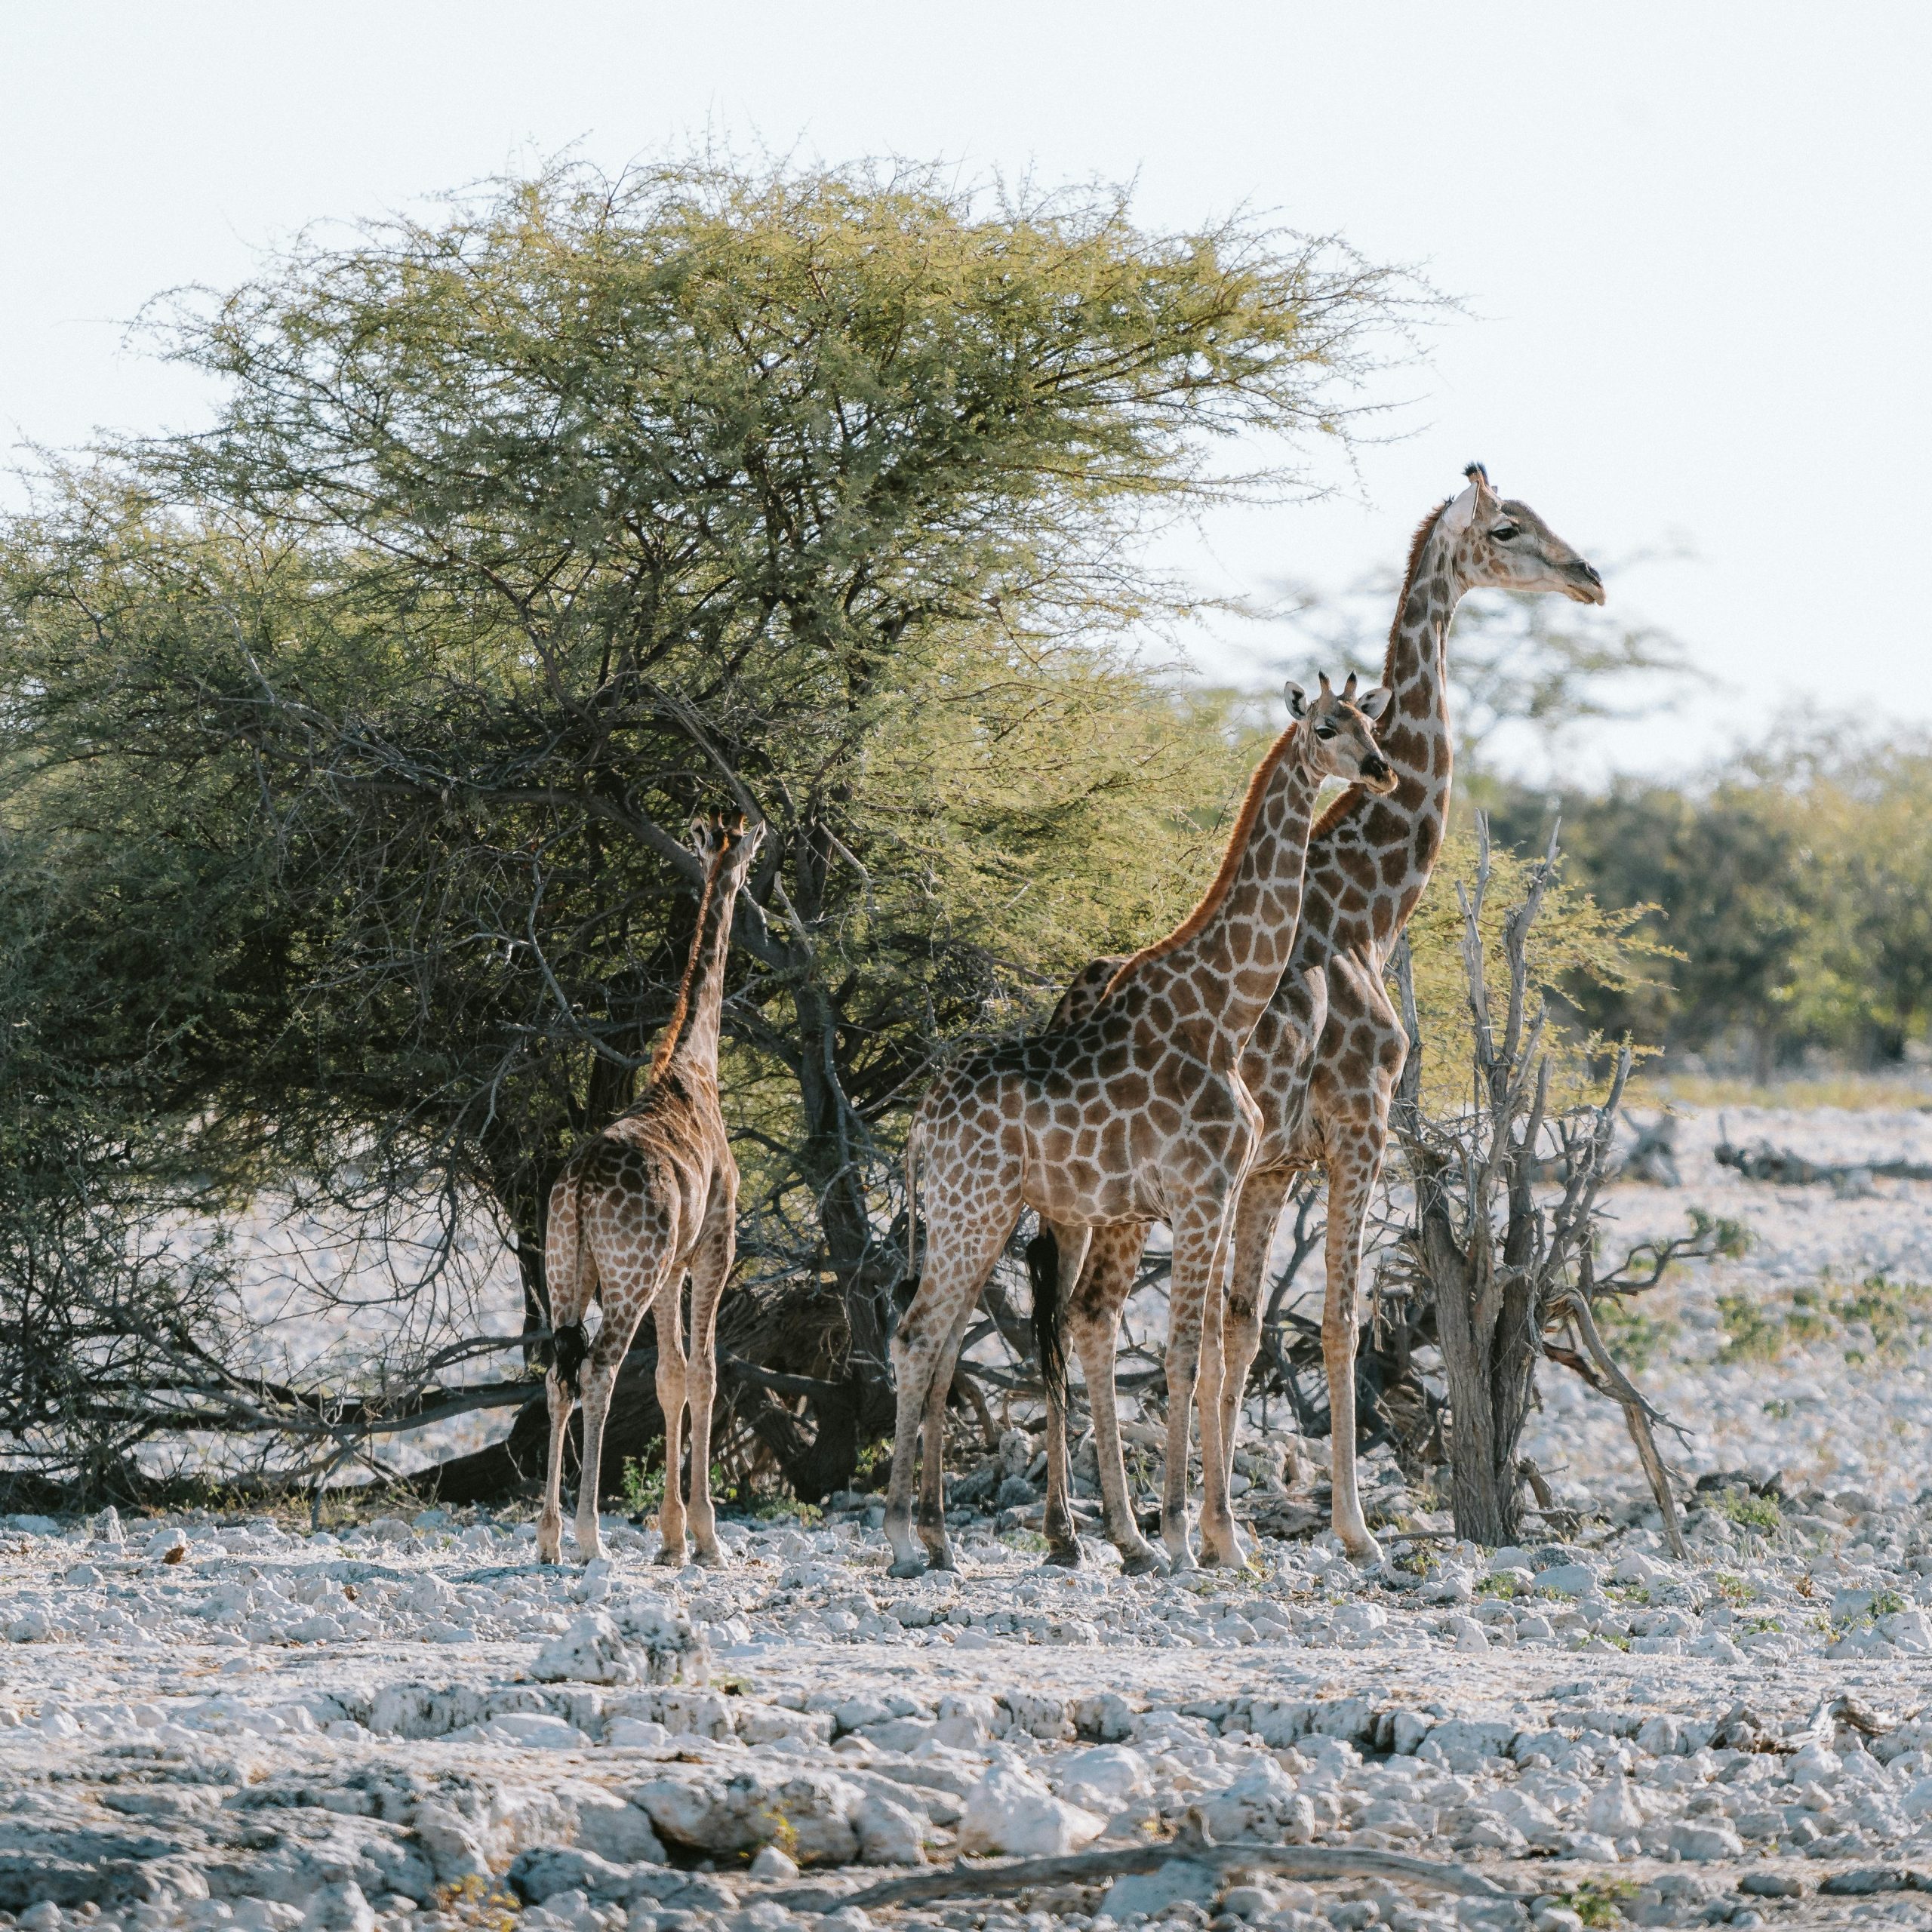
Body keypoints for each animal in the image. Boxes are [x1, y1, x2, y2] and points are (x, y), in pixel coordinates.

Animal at [536, 812, 764, 1568]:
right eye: (749, 858)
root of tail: (578, 1187)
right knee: (599, 1372)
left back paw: (548, 1538)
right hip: (628, 1275)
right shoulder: (714, 1246)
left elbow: (669, 1376)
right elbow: (704, 1374)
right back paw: (590, 1539)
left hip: (565, 1267)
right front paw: (705, 1536)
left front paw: (671, 1538)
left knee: (556, 1374)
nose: (750, 885)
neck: (692, 1067)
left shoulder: (672, 1268)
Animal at [887, 676, 1396, 1579]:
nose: (1379, 770)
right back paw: (905, 1541)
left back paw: (944, 1540)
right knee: (917, 1337)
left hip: (976, 1217)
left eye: (1372, 725)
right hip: (973, 1213)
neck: (1223, 1011)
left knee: (941, 1343)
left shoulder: (1218, 1192)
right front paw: (1185, 1537)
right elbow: (1186, 1353)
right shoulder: (1199, 1195)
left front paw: (1191, 1536)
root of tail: (921, 1124)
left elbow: (1209, 1344)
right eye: (1327, 728)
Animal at [1038, 465, 1604, 1569]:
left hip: (1090, 1197)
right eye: (1510, 529)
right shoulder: (1357, 1127)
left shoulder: (1273, 1165)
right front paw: (1351, 1530)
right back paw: (1105, 1531)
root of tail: (1077, 994)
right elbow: (1334, 1321)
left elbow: (1242, 1327)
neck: (1368, 911)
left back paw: (1076, 1530)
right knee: (1085, 1315)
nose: (1589, 576)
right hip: (1125, 1197)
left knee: (1066, 1313)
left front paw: (1224, 1530)